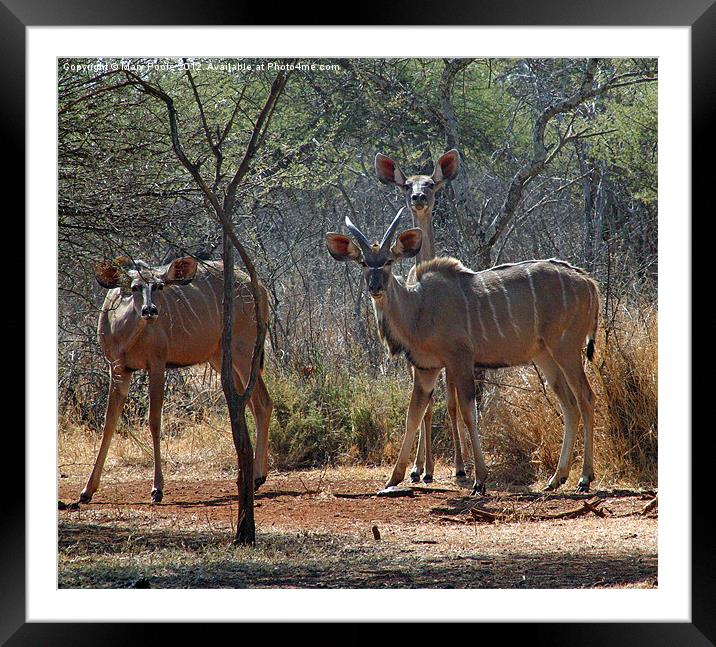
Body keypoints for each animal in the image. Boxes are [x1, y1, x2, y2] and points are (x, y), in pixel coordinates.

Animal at [81, 254, 274, 506]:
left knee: (263, 403)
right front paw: (87, 491)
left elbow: (154, 420)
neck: (124, 334)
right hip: (221, 358)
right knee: (249, 403)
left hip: (244, 350)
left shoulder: (157, 364)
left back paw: (257, 477)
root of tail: (259, 287)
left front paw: (157, 489)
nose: (150, 310)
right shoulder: (118, 368)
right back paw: (254, 476)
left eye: (160, 286)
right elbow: (109, 422)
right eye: (134, 287)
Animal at [328, 210, 600, 494]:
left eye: (389, 261)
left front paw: (479, 479)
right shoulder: (426, 368)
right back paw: (557, 478)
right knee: (569, 404)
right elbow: (413, 415)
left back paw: (584, 477)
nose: (375, 287)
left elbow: (469, 414)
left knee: (586, 397)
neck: (418, 308)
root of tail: (589, 282)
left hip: (566, 349)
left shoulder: (460, 360)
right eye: (363, 262)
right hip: (545, 356)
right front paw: (394, 478)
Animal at [372, 149, 468, 484]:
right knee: (427, 405)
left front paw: (460, 467)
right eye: (406, 185)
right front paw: (420, 469)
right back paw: (422, 470)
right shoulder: (417, 359)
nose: (418, 197)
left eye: (430, 183)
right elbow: (427, 406)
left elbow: (451, 404)